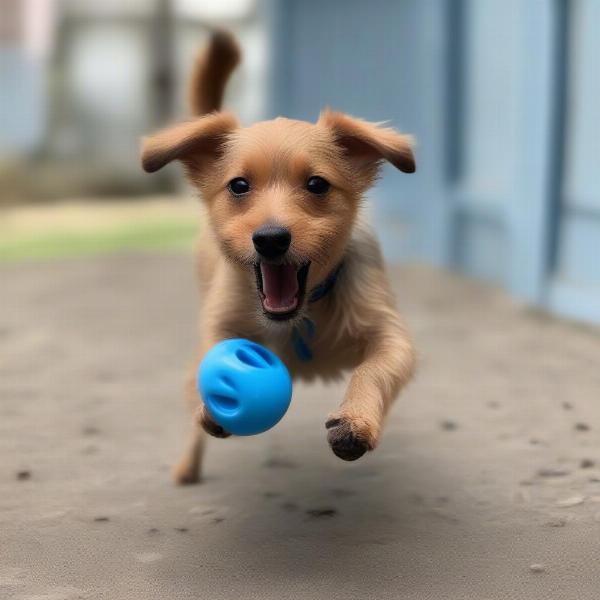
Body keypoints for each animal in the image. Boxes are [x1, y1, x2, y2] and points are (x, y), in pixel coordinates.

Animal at [141, 30, 418, 486]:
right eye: (238, 185)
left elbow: (374, 370)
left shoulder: (391, 336)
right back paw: (188, 464)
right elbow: (212, 358)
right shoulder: (219, 323)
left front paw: (355, 420)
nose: (270, 239)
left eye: (317, 184)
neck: (301, 318)